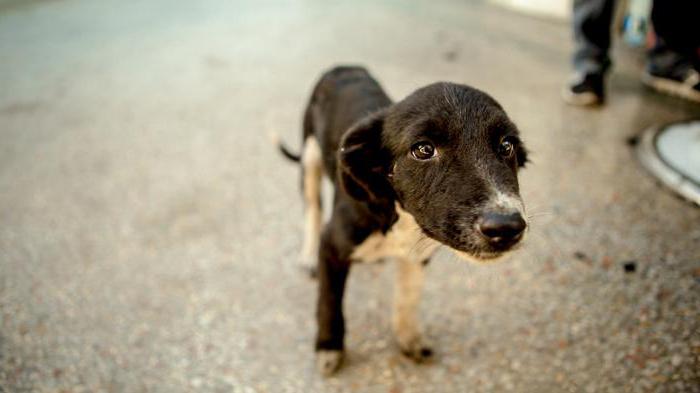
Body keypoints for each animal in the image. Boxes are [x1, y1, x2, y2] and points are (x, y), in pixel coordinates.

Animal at [278, 66, 524, 376]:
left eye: (507, 145)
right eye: (423, 149)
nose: (507, 227)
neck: (401, 215)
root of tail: (343, 66)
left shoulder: (418, 255)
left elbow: (407, 299)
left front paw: (409, 340)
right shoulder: (332, 245)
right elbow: (329, 301)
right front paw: (329, 347)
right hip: (310, 156)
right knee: (312, 209)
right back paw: (308, 256)